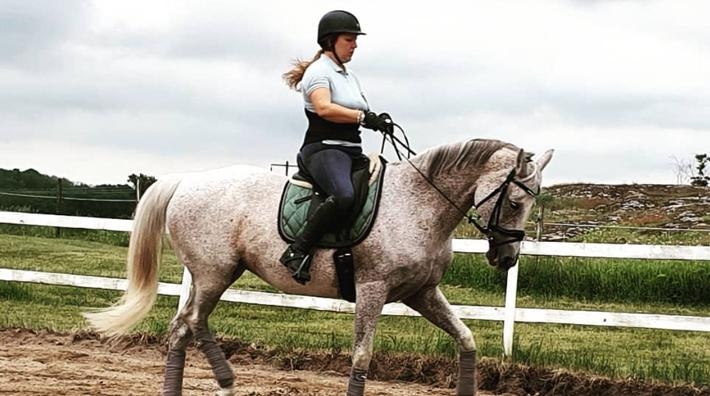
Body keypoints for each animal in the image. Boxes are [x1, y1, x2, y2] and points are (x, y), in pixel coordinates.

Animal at [85, 138, 556, 394]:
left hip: (213, 276)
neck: (418, 203)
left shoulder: (422, 294)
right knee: (190, 323)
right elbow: (362, 356)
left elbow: (467, 339)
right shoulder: (372, 290)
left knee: (185, 327)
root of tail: (187, 181)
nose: (506, 258)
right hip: (213, 273)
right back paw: (226, 380)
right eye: (516, 201)